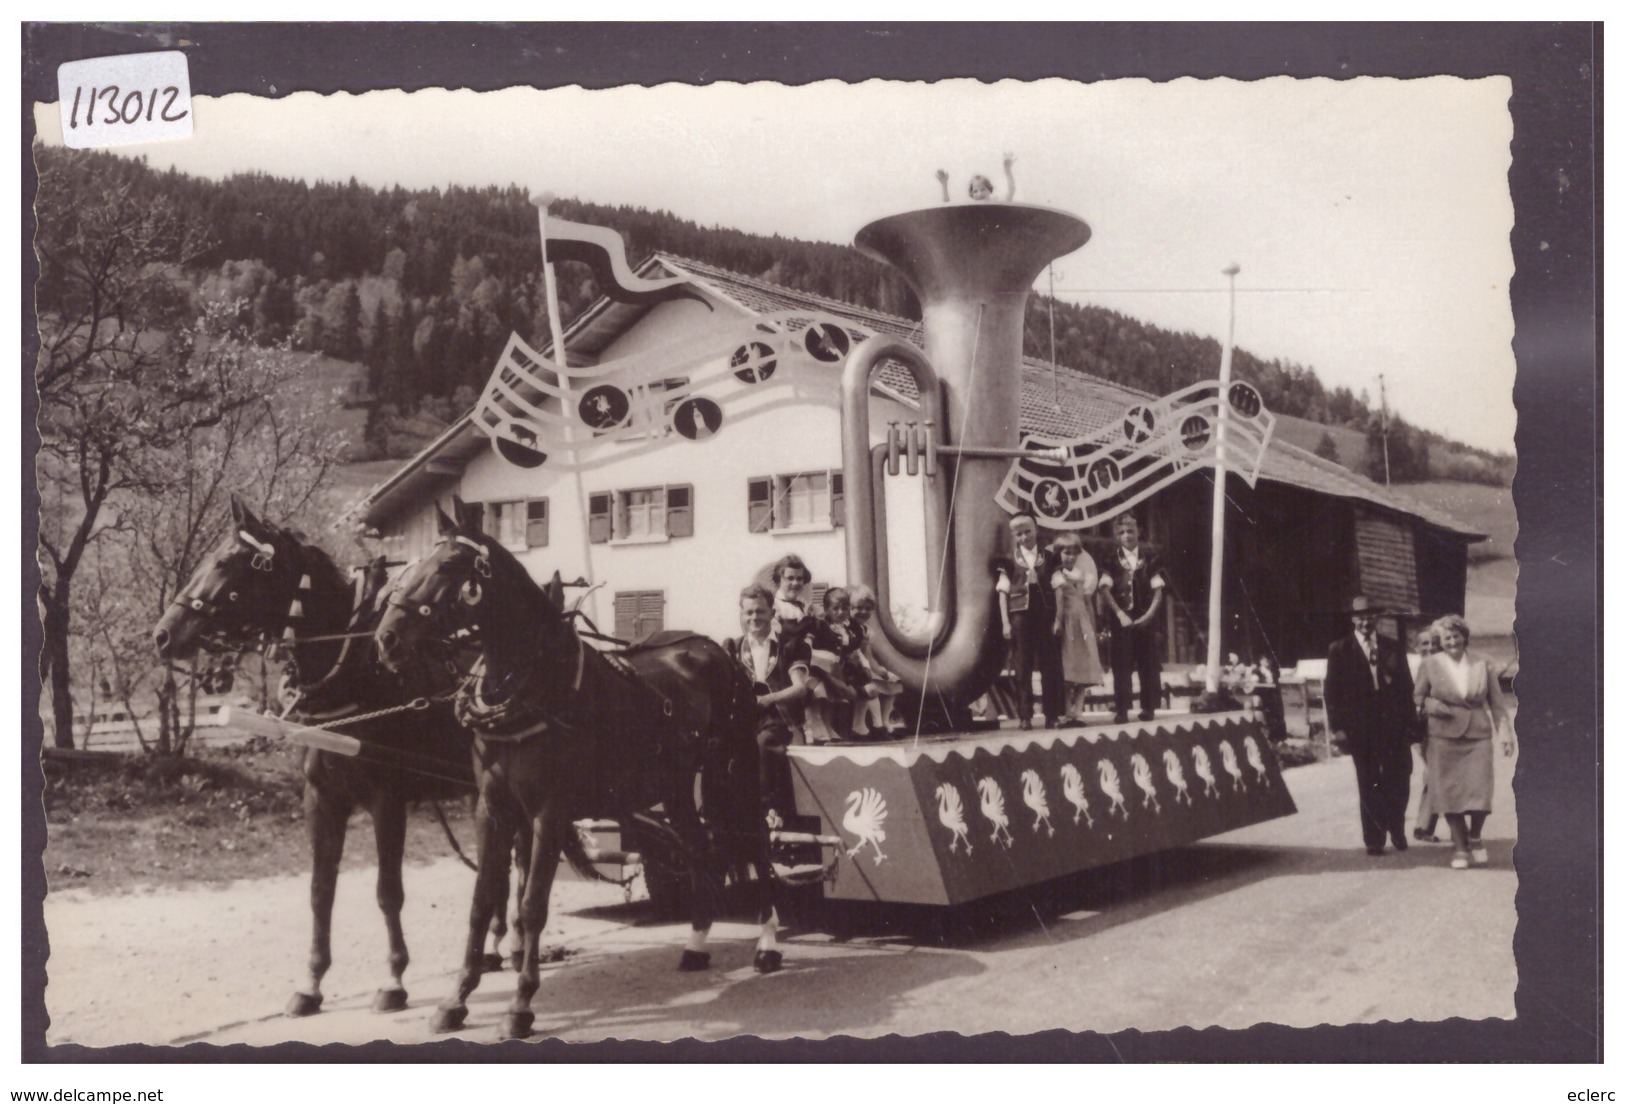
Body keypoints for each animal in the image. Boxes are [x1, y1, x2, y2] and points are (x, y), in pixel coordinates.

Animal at [152, 500, 520, 1021]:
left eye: (225, 562)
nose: (164, 635)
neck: (354, 667)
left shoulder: (387, 800)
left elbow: (388, 892)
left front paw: (393, 979)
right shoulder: (321, 798)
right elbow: (319, 891)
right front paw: (311, 983)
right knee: (501, 864)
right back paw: (492, 946)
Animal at [373, 497, 780, 1034]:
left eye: (447, 566)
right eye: (414, 563)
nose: (387, 639)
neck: (531, 686)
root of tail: (718, 649)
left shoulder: (549, 812)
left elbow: (531, 905)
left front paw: (521, 1003)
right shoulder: (493, 809)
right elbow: (482, 903)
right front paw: (456, 999)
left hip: (734, 775)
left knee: (754, 844)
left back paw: (768, 944)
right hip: (675, 788)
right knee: (698, 848)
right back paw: (695, 944)